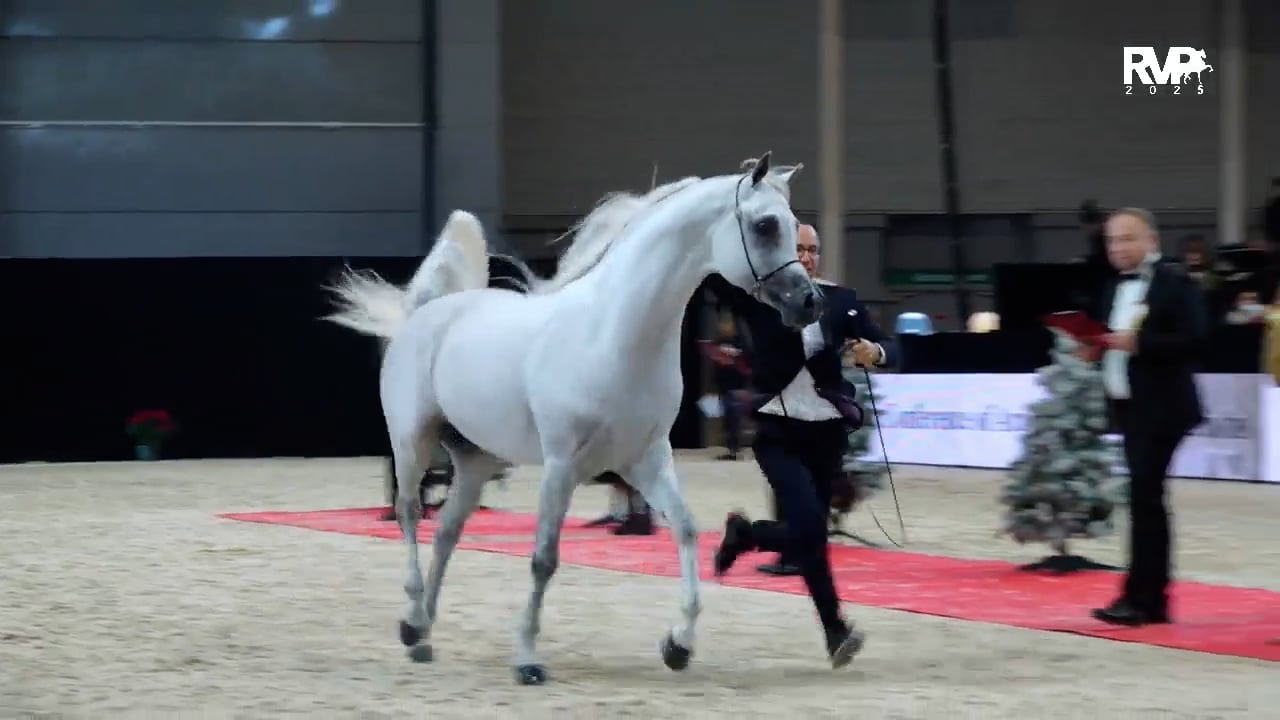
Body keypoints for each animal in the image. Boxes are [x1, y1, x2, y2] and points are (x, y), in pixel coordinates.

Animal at [324, 152, 819, 685]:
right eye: (765, 225)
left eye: (791, 225)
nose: (809, 302)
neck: (614, 336)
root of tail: (428, 311)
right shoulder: (561, 467)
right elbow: (544, 559)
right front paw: (527, 660)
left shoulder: (646, 459)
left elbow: (685, 529)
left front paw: (678, 645)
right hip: (412, 444)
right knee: (410, 515)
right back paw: (413, 620)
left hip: (476, 462)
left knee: (447, 531)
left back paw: (423, 635)